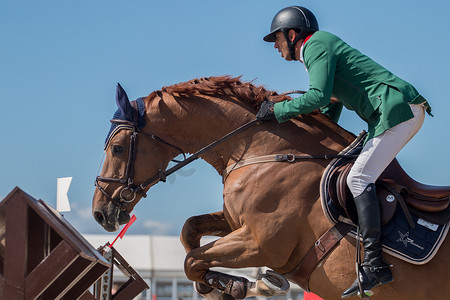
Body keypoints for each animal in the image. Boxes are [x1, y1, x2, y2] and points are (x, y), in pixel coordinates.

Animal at [91, 76, 450, 298]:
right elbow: (190, 232)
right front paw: (222, 285)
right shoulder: (236, 223)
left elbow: (192, 259)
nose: (99, 213)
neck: (265, 151)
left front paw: (249, 285)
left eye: (118, 148)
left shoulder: (262, 243)